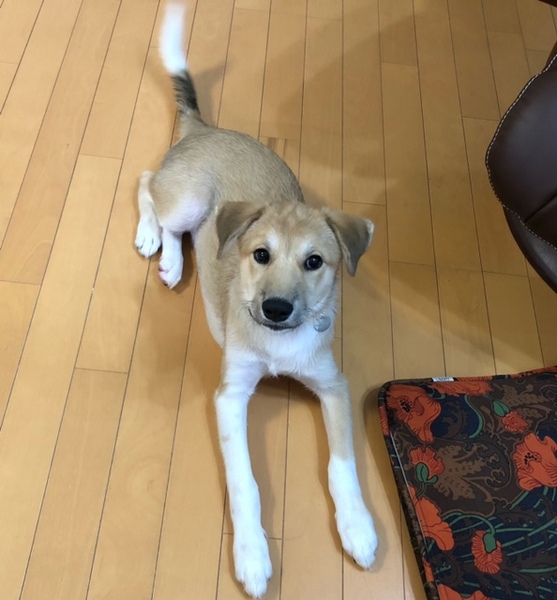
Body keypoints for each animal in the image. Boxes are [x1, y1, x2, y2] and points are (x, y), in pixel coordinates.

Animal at [135, 3, 378, 597]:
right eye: (260, 255)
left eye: (315, 263)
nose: (276, 310)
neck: (277, 345)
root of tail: (207, 129)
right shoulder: (230, 394)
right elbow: (244, 481)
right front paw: (251, 555)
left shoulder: (333, 385)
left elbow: (342, 465)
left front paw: (358, 528)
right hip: (190, 196)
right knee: (147, 183)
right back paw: (155, 242)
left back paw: (173, 259)